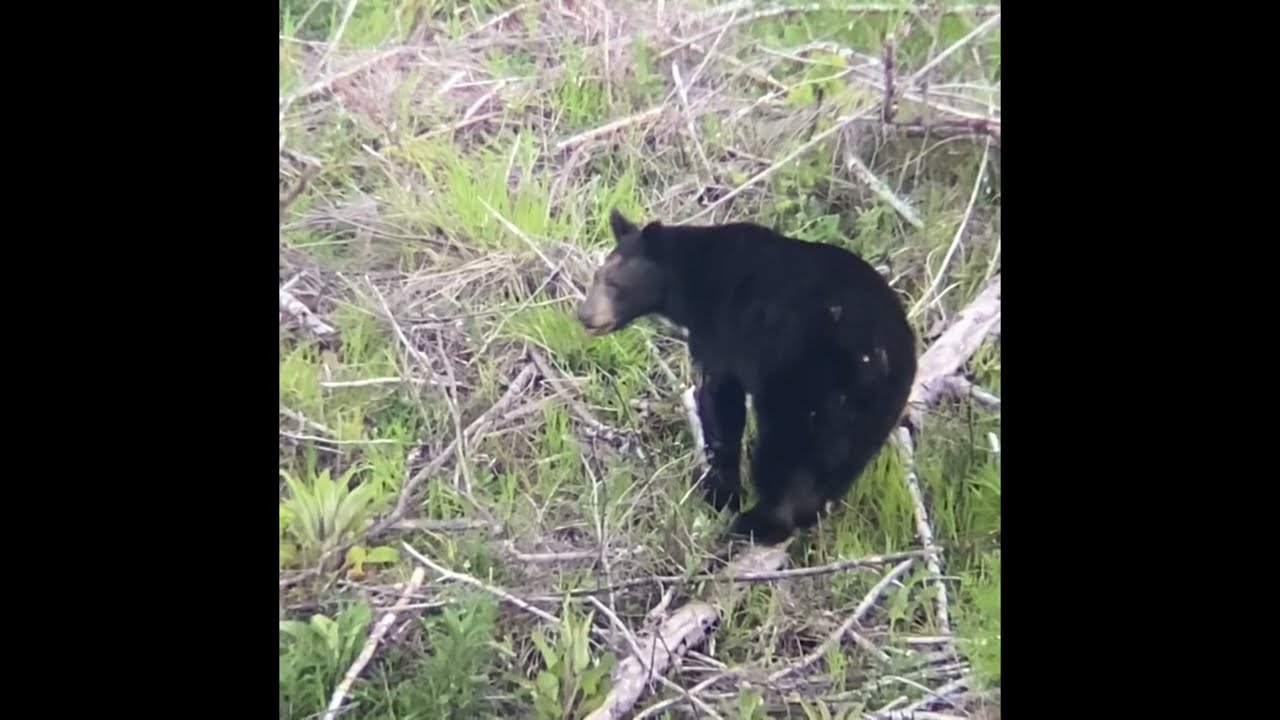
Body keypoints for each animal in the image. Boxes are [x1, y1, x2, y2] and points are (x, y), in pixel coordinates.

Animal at [576, 208, 916, 543]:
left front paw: (720, 493)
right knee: (843, 459)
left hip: (804, 380)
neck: (693, 280)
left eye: (615, 283)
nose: (585, 315)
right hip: (878, 405)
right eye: (597, 277)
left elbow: (719, 402)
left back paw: (759, 522)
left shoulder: (724, 332)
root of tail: (878, 355)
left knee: (784, 448)